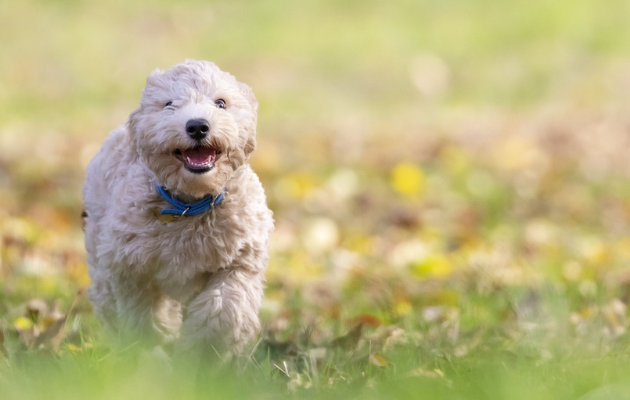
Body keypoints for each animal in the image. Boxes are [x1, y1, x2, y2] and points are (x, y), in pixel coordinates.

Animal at [82, 59, 274, 356]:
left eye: (221, 103)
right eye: (169, 104)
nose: (197, 126)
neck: (191, 204)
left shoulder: (241, 259)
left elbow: (225, 307)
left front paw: (202, 352)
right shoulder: (130, 267)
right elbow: (143, 314)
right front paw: (152, 349)